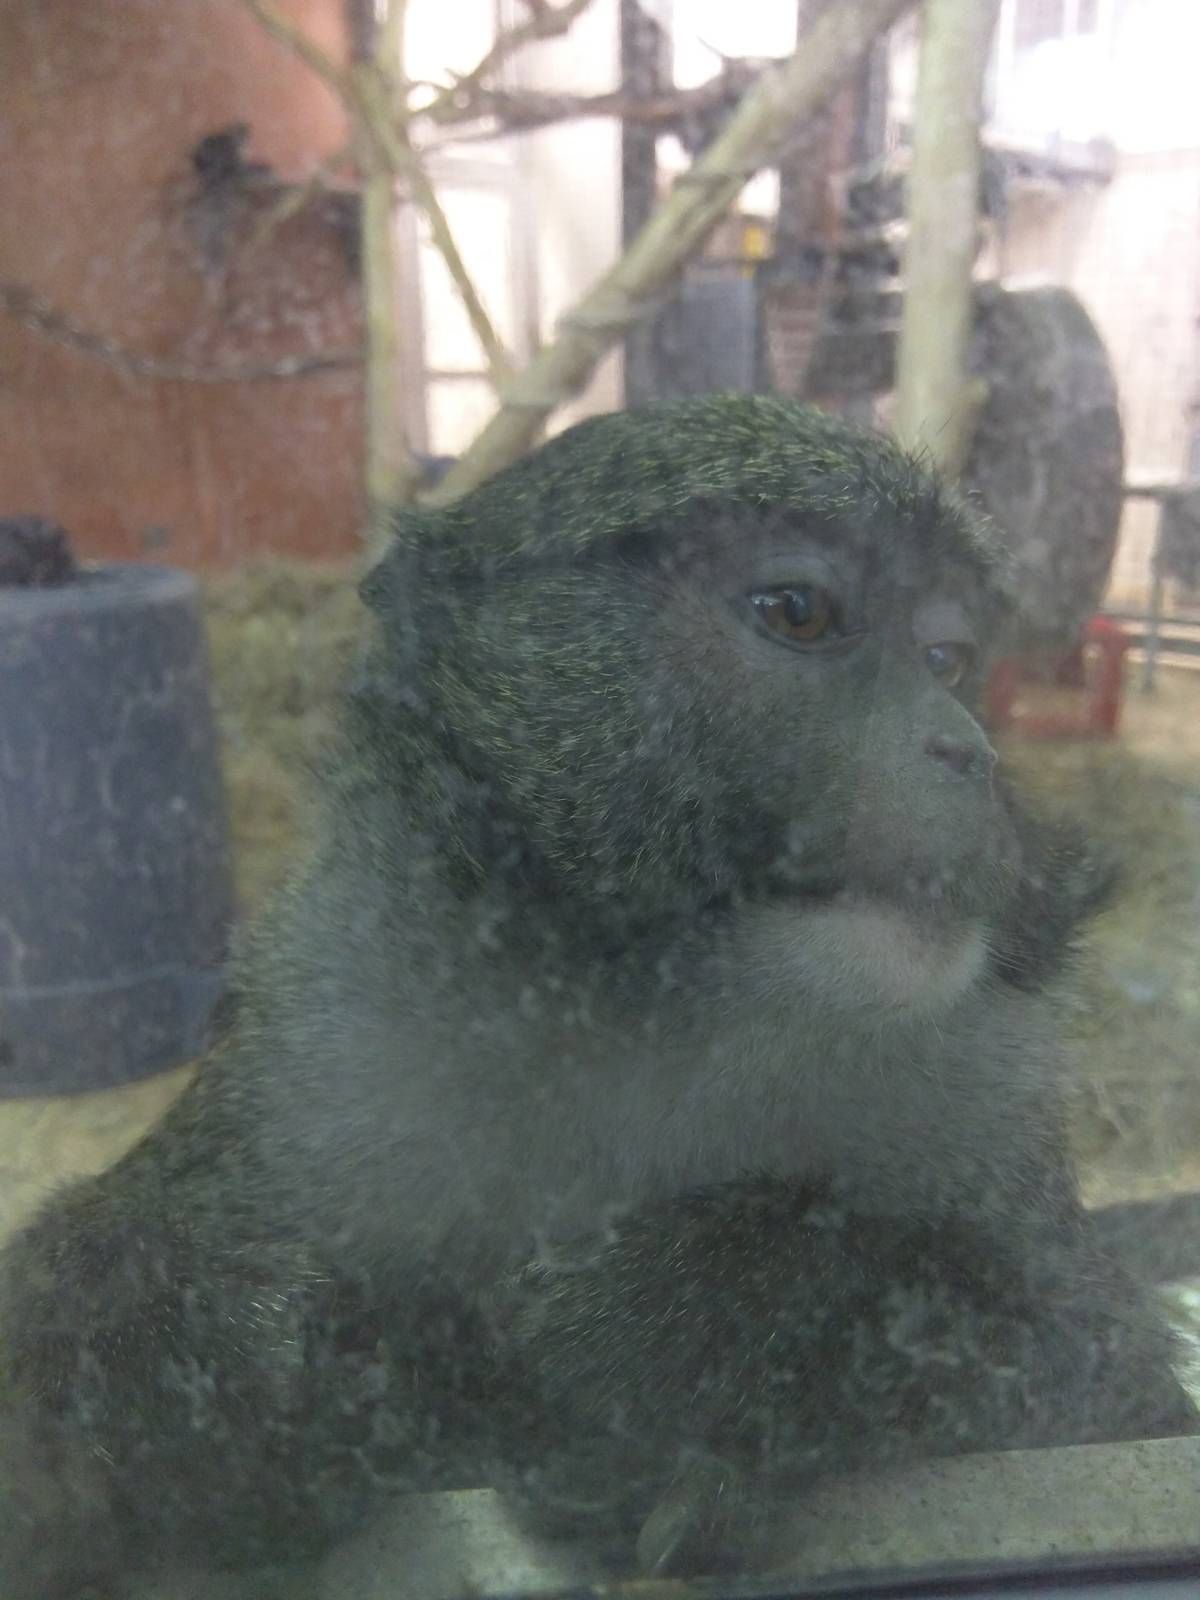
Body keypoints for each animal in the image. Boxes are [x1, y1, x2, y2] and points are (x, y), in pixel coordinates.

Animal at [0, 394, 1195, 1596]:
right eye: (800, 612)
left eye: (947, 657)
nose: (966, 749)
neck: (638, 1019)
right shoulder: (321, 1035)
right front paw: (194, 1346)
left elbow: (1104, 1370)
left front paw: (692, 1321)